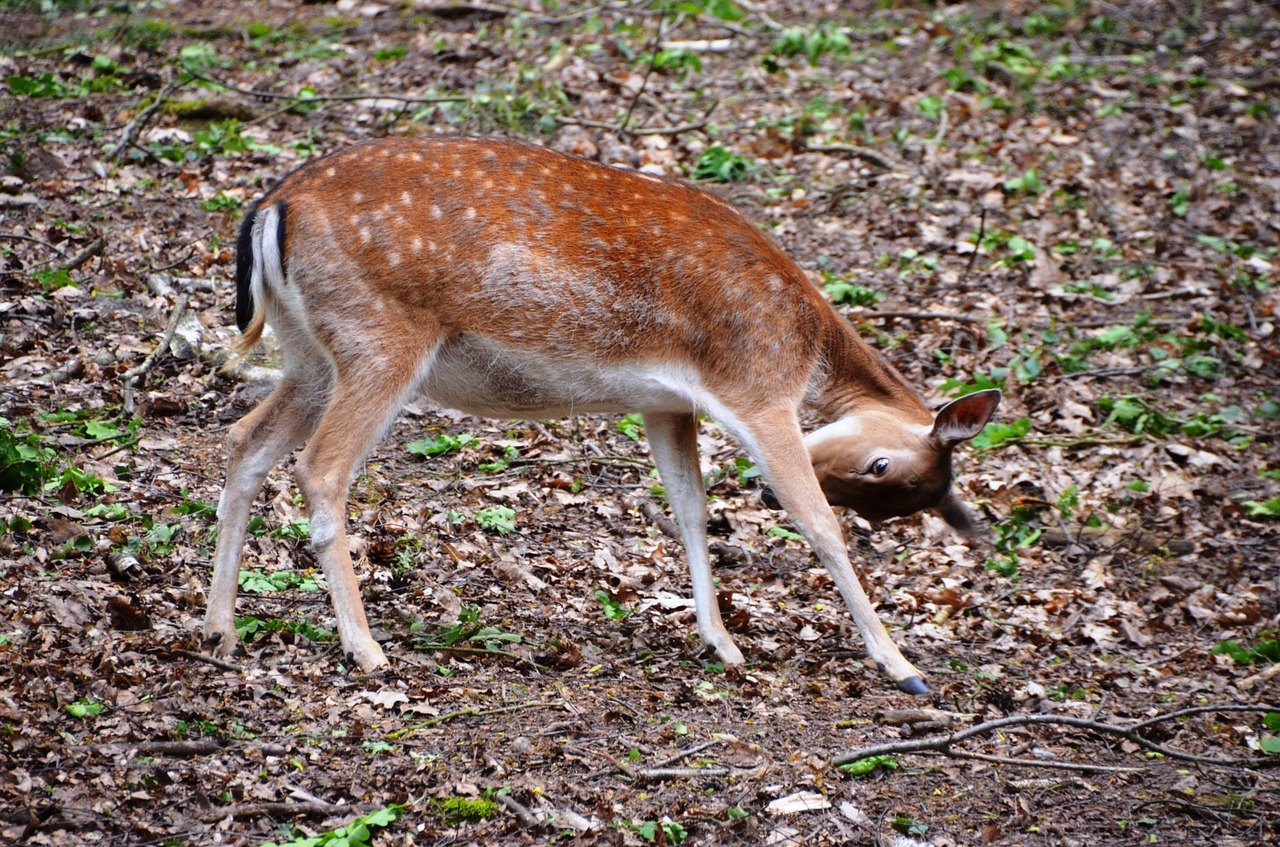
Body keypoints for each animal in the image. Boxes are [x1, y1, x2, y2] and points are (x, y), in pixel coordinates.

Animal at [202, 137, 998, 696]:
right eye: (880, 464)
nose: (762, 495)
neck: (806, 341)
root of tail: (271, 209)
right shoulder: (758, 388)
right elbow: (821, 526)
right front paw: (901, 664)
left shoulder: (666, 402)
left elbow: (690, 510)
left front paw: (721, 642)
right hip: (379, 337)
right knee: (320, 467)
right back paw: (365, 649)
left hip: (309, 351)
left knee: (245, 440)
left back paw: (219, 629)